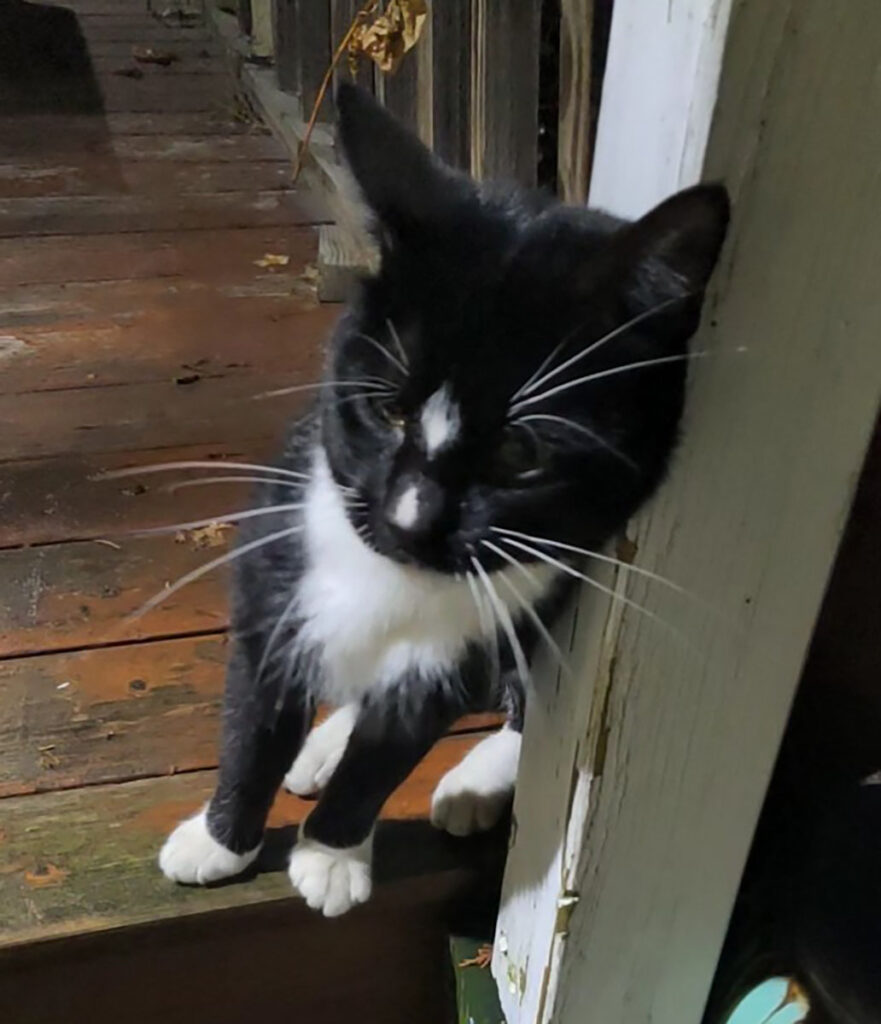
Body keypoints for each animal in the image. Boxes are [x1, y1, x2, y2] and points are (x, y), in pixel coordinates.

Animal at [158, 83, 729, 917]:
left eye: (519, 453)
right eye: (387, 409)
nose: (409, 519)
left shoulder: (488, 630)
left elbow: (391, 751)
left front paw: (332, 854)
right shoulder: (276, 570)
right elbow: (254, 717)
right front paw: (220, 839)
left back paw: (468, 788)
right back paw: (321, 746)